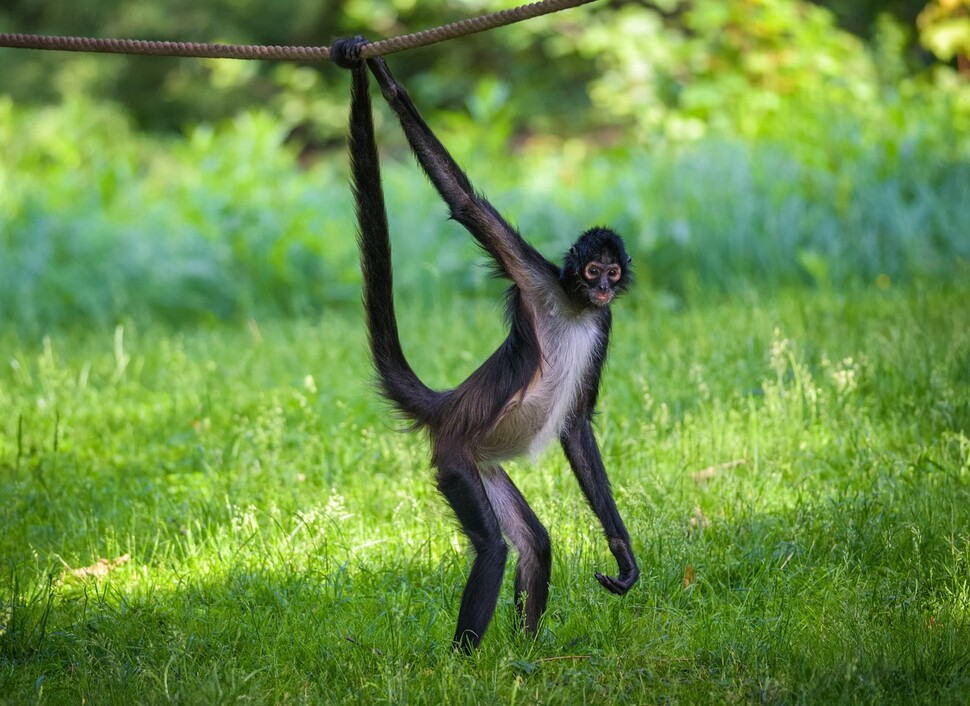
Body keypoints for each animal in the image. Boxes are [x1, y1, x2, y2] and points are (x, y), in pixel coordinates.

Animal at [328, 34, 640, 648]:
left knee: (534, 543)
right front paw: (386, 79)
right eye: (591, 270)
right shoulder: (534, 276)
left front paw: (623, 555)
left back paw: (528, 654)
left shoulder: (605, 323)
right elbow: (464, 202)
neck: (573, 306)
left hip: (481, 461)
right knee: (494, 547)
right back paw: (463, 661)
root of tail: (449, 406)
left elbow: (576, 423)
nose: (601, 288)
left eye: (612, 274)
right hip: (455, 456)